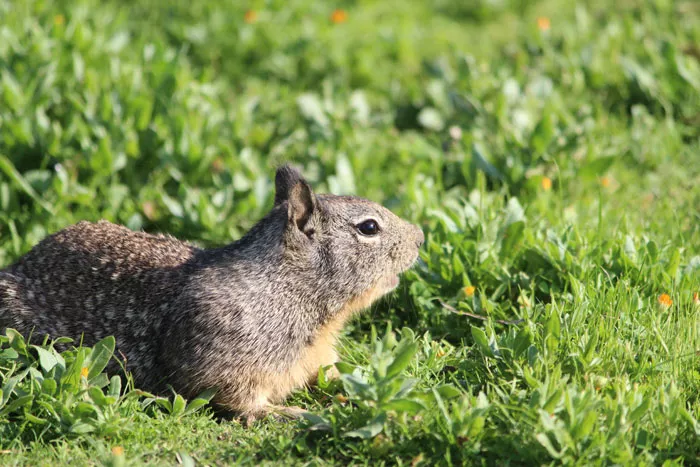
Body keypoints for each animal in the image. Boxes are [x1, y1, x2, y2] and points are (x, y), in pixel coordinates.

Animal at [0, 166, 424, 422]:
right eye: (369, 227)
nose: (420, 236)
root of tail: (16, 265)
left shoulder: (317, 358)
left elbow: (333, 375)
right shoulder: (224, 361)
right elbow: (241, 402)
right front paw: (291, 414)